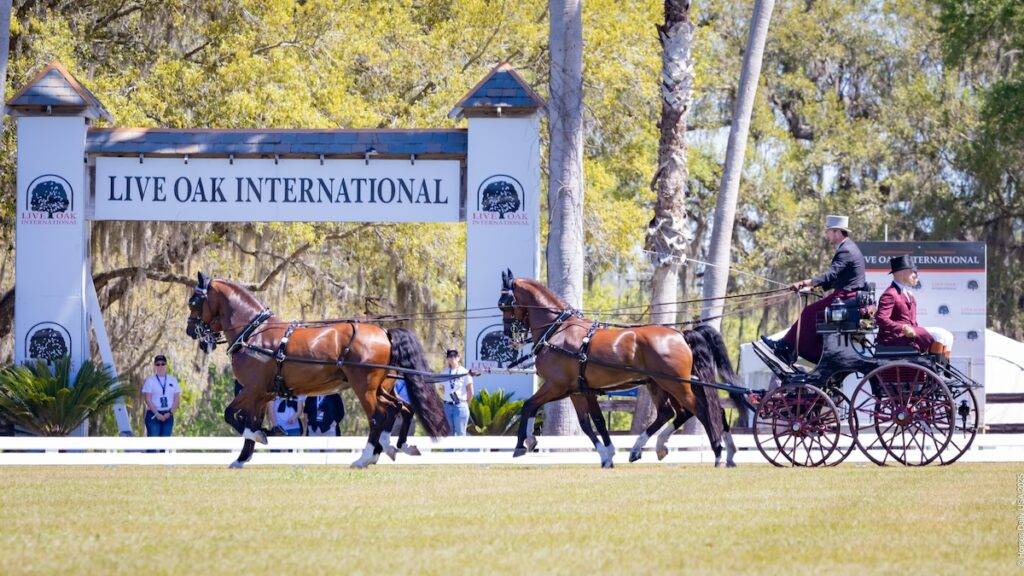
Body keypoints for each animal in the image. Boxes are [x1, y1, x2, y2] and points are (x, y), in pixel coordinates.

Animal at [185, 272, 449, 468]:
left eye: (194, 301)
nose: (190, 331)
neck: (254, 333)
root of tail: (384, 332)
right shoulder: (263, 395)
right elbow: (249, 419)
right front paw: (243, 457)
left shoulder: (252, 389)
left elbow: (231, 414)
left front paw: (259, 435)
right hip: (382, 387)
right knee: (400, 409)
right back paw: (396, 446)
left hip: (364, 388)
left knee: (378, 416)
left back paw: (366, 457)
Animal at [498, 270, 730, 468]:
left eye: (504, 304)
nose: (509, 336)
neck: (558, 331)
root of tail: (680, 334)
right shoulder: (574, 391)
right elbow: (587, 423)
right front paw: (605, 455)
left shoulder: (557, 385)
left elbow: (530, 405)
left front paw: (520, 445)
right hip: (659, 384)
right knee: (672, 413)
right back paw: (647, 448)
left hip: (675, 384)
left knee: (702, 410)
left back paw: (718, 454)